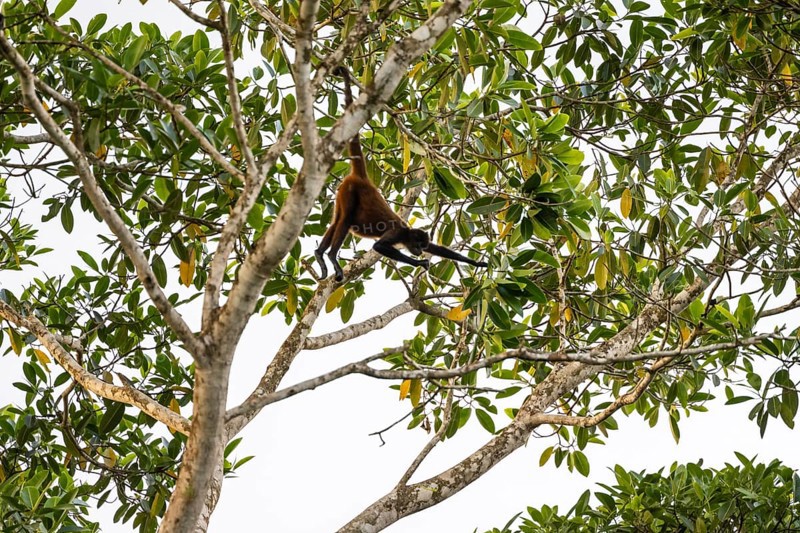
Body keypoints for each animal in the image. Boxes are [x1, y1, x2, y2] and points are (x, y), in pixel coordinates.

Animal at [315, 68, 488, 282]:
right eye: (419, 245)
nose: (420, 251)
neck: (406, 233)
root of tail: (363, 178)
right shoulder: (397, 232)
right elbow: (378, 246)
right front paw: (419, 263)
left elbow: (439, 249)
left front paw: (477, 263)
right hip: (350, 191)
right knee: (345, 220)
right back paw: (331, 256)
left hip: (342, 191)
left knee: (337, 220)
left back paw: (320, 254)